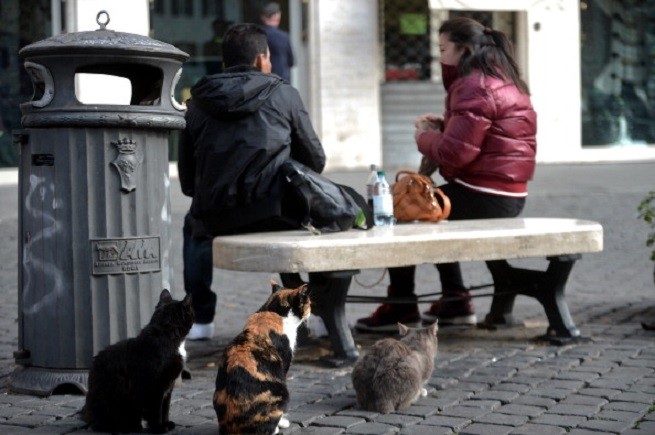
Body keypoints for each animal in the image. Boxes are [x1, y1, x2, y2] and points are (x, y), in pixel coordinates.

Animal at [83, 288, 193, 434]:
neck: (165, 334)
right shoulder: (154, 388)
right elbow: (156, 410)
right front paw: (159, 428)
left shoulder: (168, 387)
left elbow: (165, 408)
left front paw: (166, 423)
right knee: (104, 423)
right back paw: (126, 427)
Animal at [213, 282, 310, 434]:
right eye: (308, 302)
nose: (310, 310)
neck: (275, 312)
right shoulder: (284, 366)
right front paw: (283, 423)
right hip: (282, 393)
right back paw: (276, 428)